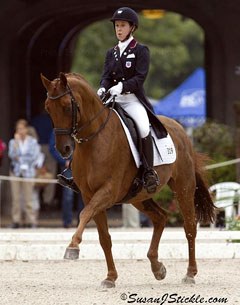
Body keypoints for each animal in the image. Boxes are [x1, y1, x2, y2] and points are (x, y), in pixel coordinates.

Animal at [40, 72, 214, 286]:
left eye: (66, 106)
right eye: (48, 108)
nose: (63, 149)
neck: (94, 140)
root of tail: (181, 130)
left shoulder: (108, 191)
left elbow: (84, 214)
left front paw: (73, 247)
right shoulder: (89, 195)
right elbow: (104, 238)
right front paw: (110, 277)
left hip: (183, 187)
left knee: (189, 226)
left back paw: (190, 274)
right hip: (138, 197)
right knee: (161, 217)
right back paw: (157, 267)